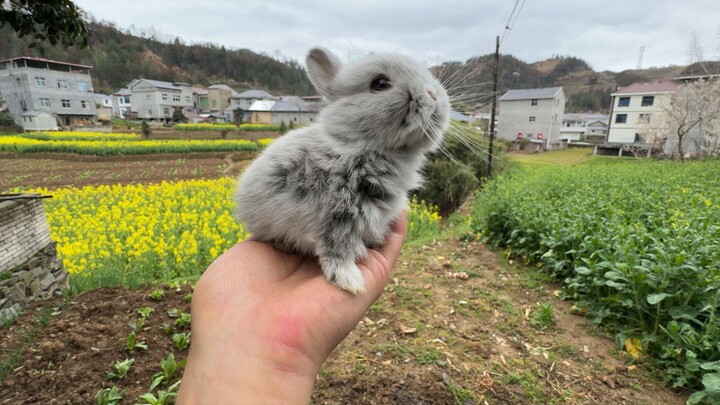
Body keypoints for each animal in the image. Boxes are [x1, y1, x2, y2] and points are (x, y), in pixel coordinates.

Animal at [234, 47, 450, 294]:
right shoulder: (336, 217)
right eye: (381, 83)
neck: (357, 145)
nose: (433, 95)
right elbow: (337, 250)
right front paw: (350, 282)